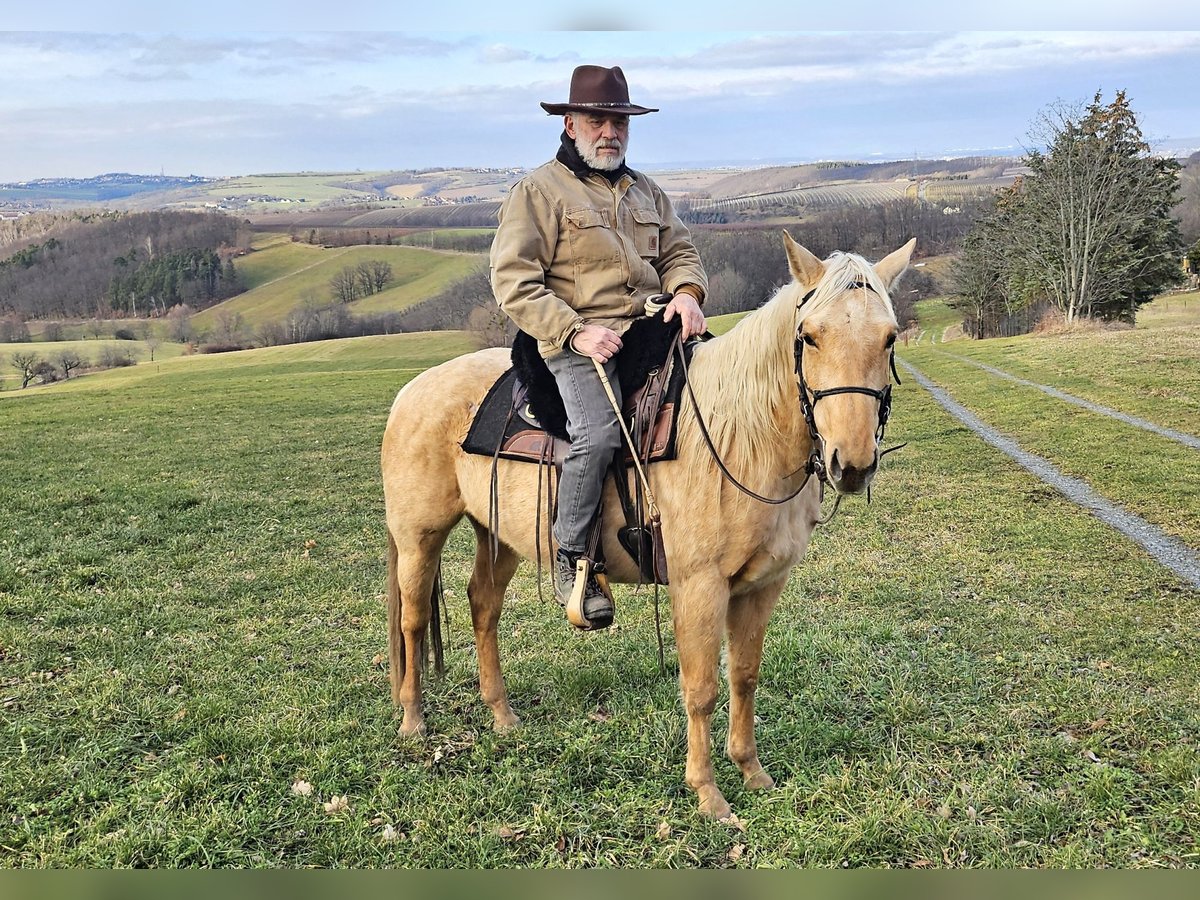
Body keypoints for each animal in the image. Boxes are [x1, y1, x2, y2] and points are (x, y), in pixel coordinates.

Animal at [384, 236, 916, 820]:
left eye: (889, 338)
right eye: (810, 337)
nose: (853, 462)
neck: (740, 435)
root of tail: (411, 391)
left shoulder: (761, 586)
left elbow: (744, 676)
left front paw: (752, 772)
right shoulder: (698, 585)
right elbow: (701, 688)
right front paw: (708, 794)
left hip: (497, 534)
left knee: (483, 605)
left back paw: (502, 716)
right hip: (419, 534)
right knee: (412, 620)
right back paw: (412, 720)